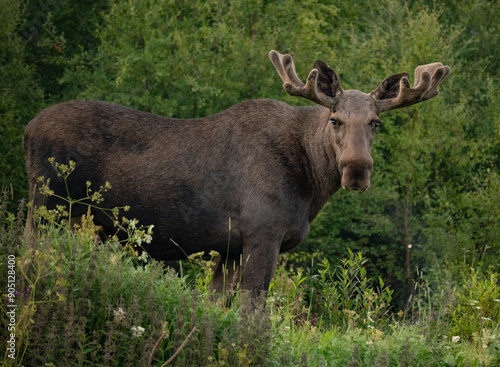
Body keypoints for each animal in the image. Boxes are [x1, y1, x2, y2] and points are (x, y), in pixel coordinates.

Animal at [25, 51, 452, 304]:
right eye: (335, 119)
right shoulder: (263, 232)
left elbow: (217, 303)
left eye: (376, 122)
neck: (311, 184)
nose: (356, 168)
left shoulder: (230, 246)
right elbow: (253, 310)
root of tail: (27, 131)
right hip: (48, 205)